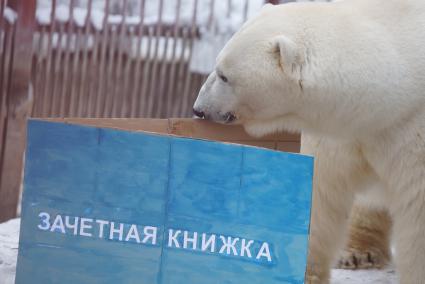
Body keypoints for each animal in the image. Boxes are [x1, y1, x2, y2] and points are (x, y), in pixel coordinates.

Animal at [194, 1, 424, 282]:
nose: (198, 109)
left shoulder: (412, 135)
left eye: (224, 75)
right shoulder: (339, 132)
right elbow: (320, 193)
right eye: (217, 67)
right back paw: (357, 253)